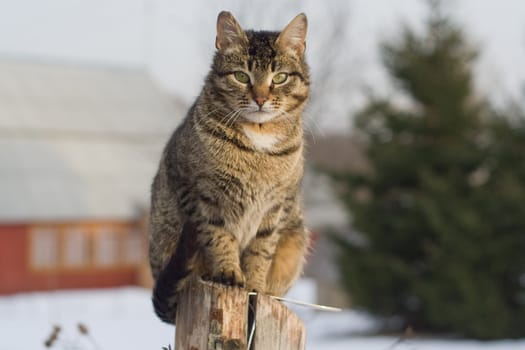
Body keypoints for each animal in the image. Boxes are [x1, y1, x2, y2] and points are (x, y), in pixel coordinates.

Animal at [149, 10, 310, 324]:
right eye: (241, 76)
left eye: (280, 77)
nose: (260, 98)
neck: (259, 143)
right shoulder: (202, 195)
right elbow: (219, 236)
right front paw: (228, 272)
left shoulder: (276, 207)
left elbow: (261, 250)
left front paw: (255, 284)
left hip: (295, 241)